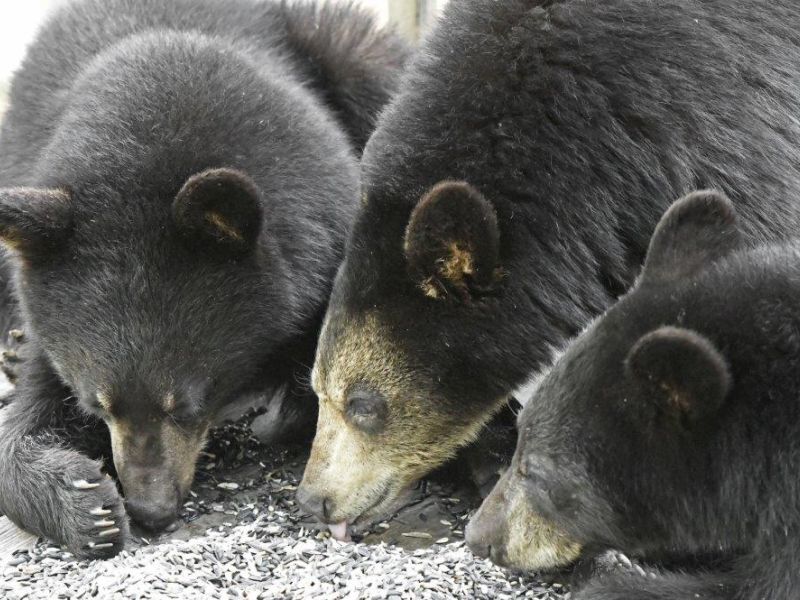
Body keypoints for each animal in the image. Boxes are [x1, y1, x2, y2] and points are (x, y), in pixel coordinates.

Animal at [0, 0, 408, 558]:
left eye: (189, 404)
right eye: (94, 403)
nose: (151, 511)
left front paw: (284, 406)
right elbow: (25, 417)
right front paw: (88, 506)